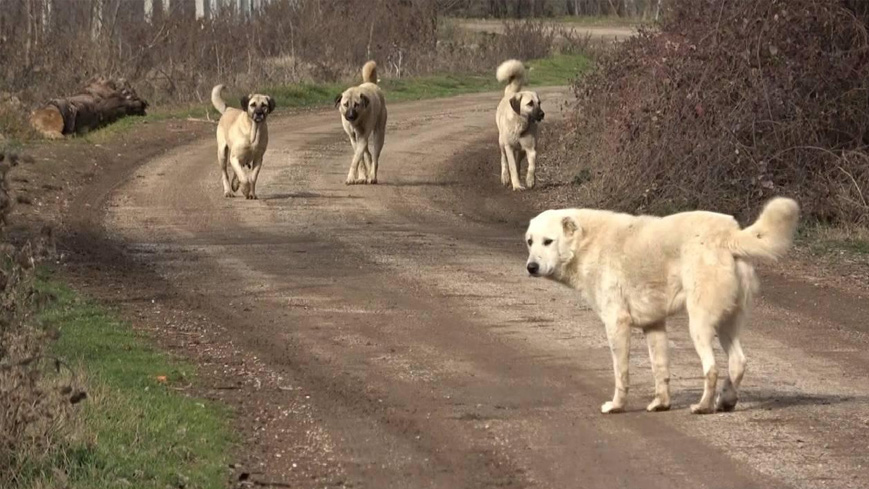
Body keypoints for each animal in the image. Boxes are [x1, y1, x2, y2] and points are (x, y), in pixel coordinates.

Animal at [496, 59, 544, 191]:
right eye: (530, 103)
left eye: (539, 103)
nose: (542, 114)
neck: (520, 125)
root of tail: (512, 93)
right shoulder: (509, 148)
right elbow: (511, 166)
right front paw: (516, 185)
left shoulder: (531, 149)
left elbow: (531, 166)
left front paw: (530, 181)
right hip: (502, 143)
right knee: (504, 160)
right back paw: (505, 177)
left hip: (521, 151)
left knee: (518, 162)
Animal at [524, 196, 800, 414]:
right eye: (530, 241)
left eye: (548, 241)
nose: (531, 267)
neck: (587, 243)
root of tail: (728, 234)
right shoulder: (654, 325)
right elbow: (660, 369)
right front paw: (661, 404)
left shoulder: (616, 324)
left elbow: (621, 373)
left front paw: (616, 406)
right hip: (726, 324)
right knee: (738, 363)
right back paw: (726, 401)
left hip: (699, 325)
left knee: (712, 368)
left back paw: (702, 407)